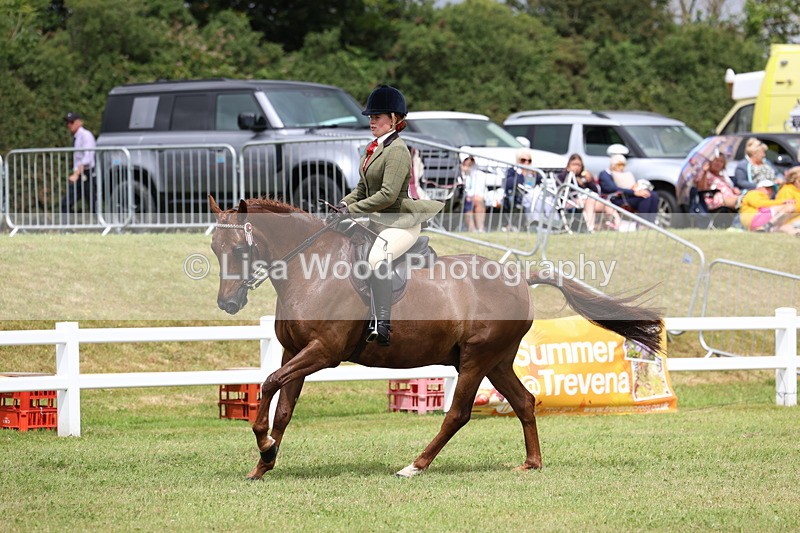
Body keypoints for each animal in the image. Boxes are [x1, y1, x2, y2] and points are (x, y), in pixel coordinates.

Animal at [208, 196, 663, 479]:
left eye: (240, 249)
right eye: (215, 248)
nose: (228, 303)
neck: (309, 267)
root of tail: (518, 277)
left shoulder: (323, 352)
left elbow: (269, 383)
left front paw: (263, 443)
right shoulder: (294, 350)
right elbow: (283, 404)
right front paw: (265, 461)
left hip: (476, 359)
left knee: (457, 413)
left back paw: (416, 465)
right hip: (497, 360)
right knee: (524, 401)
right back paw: (531, 463)